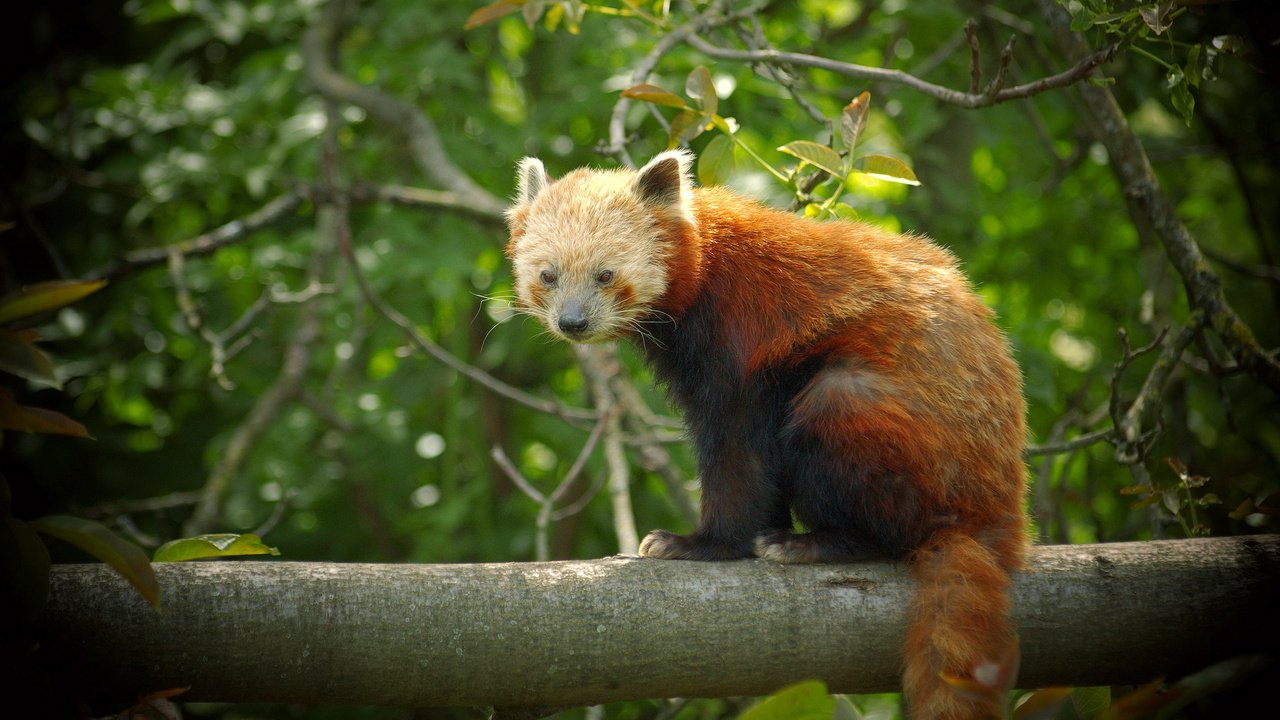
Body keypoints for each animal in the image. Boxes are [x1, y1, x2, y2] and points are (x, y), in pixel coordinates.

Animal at [501, 147, 1029, 717]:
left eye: (605, 274)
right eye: (548, 275)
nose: (572, 322)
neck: (705, 269)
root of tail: (997, 512)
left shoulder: (741, 345)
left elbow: (737, 454)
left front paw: (704, 543)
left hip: (881, 424)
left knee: (843, 432)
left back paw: (823, 542)